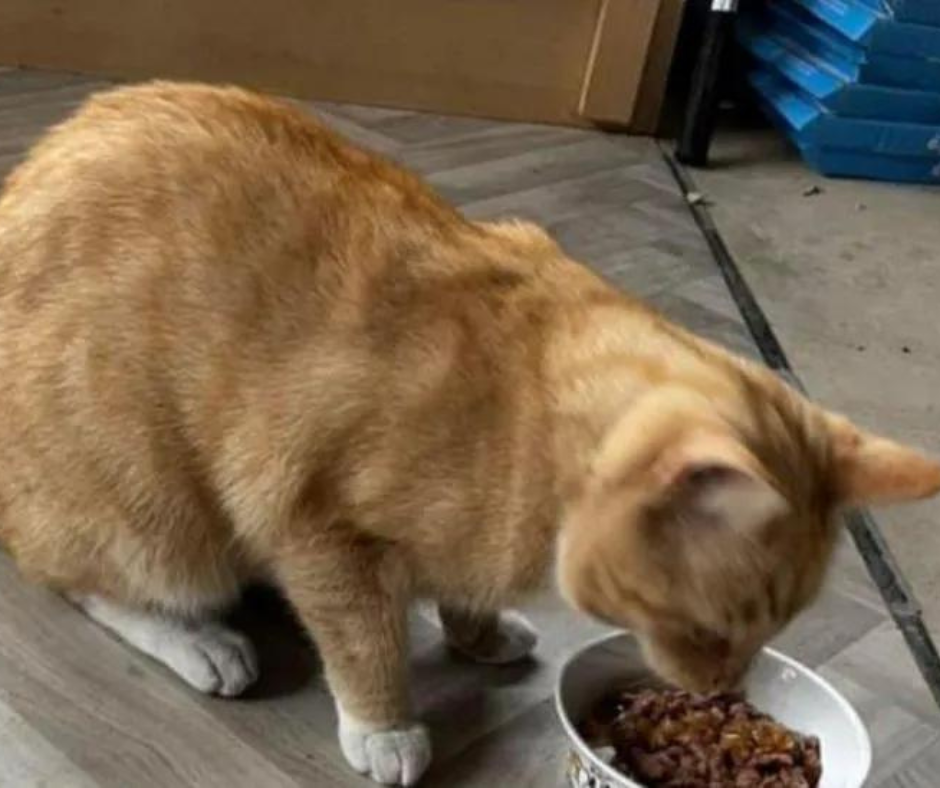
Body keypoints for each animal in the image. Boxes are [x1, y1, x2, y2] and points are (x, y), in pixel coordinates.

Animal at [1, 83, 940, 784]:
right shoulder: (322, 528)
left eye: (765, 634)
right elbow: (365, 644)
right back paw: (202, 641)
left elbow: (463, 593)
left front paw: (479, 634)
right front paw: (384, 725)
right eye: (715, 630)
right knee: (88, 581)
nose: (721, 686)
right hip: (152, 512)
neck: (520, 418)